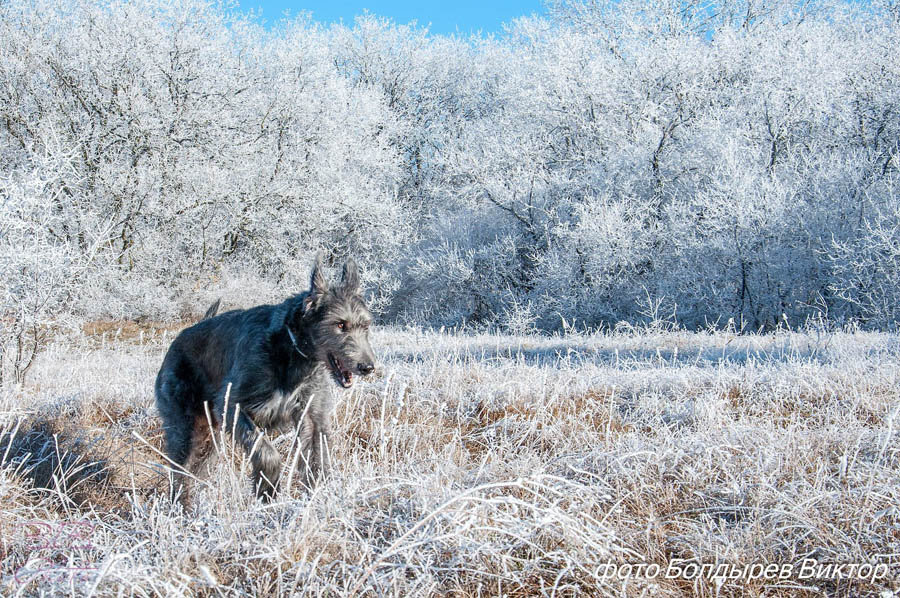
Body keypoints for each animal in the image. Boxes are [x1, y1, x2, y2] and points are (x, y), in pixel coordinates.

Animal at [155, 254, 376, 502]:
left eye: (366, 325)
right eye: (340, 324)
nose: (368, 367)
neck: (290, 348)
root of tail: (181, 336)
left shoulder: (312, 414)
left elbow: (317, 459)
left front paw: (320, 498)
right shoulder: (232, 406)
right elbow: (266, 451)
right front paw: (267, 489)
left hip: (211, 435)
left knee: (197, 468)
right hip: (184, 426)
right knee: (180, 469)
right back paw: (179, 504)